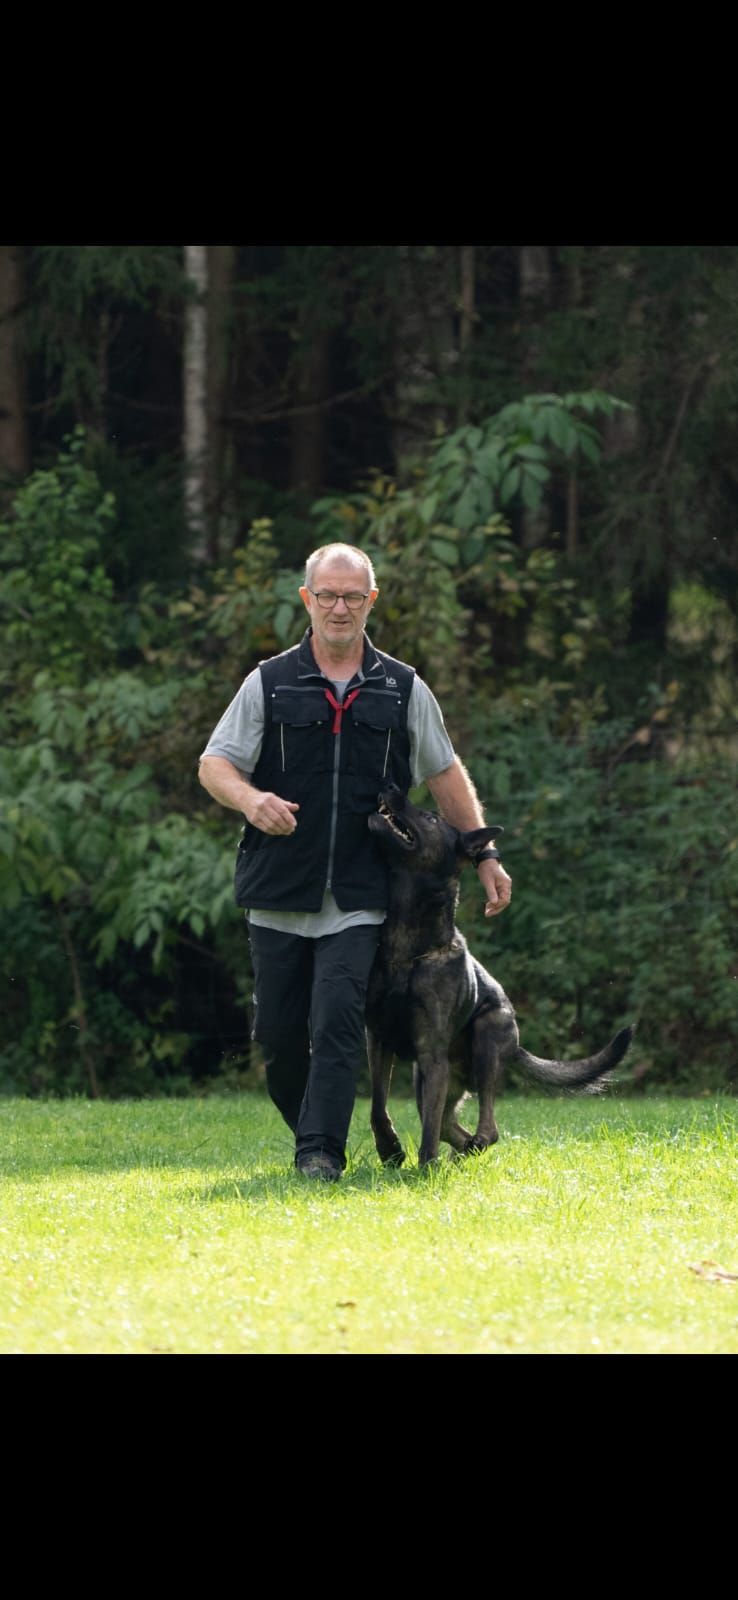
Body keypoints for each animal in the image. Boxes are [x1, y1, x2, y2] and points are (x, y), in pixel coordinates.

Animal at [365, 785, 633, 1167]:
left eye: (431, 817)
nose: (389, 786)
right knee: (452, 1127)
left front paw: (425, 1167)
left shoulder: (432, 1056)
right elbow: (377, 1105)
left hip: (486, 1037)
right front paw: (390, 1148)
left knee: (484, 1128)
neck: (409, 950)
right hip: (429, 1077)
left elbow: (428, 1131)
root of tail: (517, 1045)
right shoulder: (378, 1039)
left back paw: (468, 1148)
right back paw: (461, 1154)